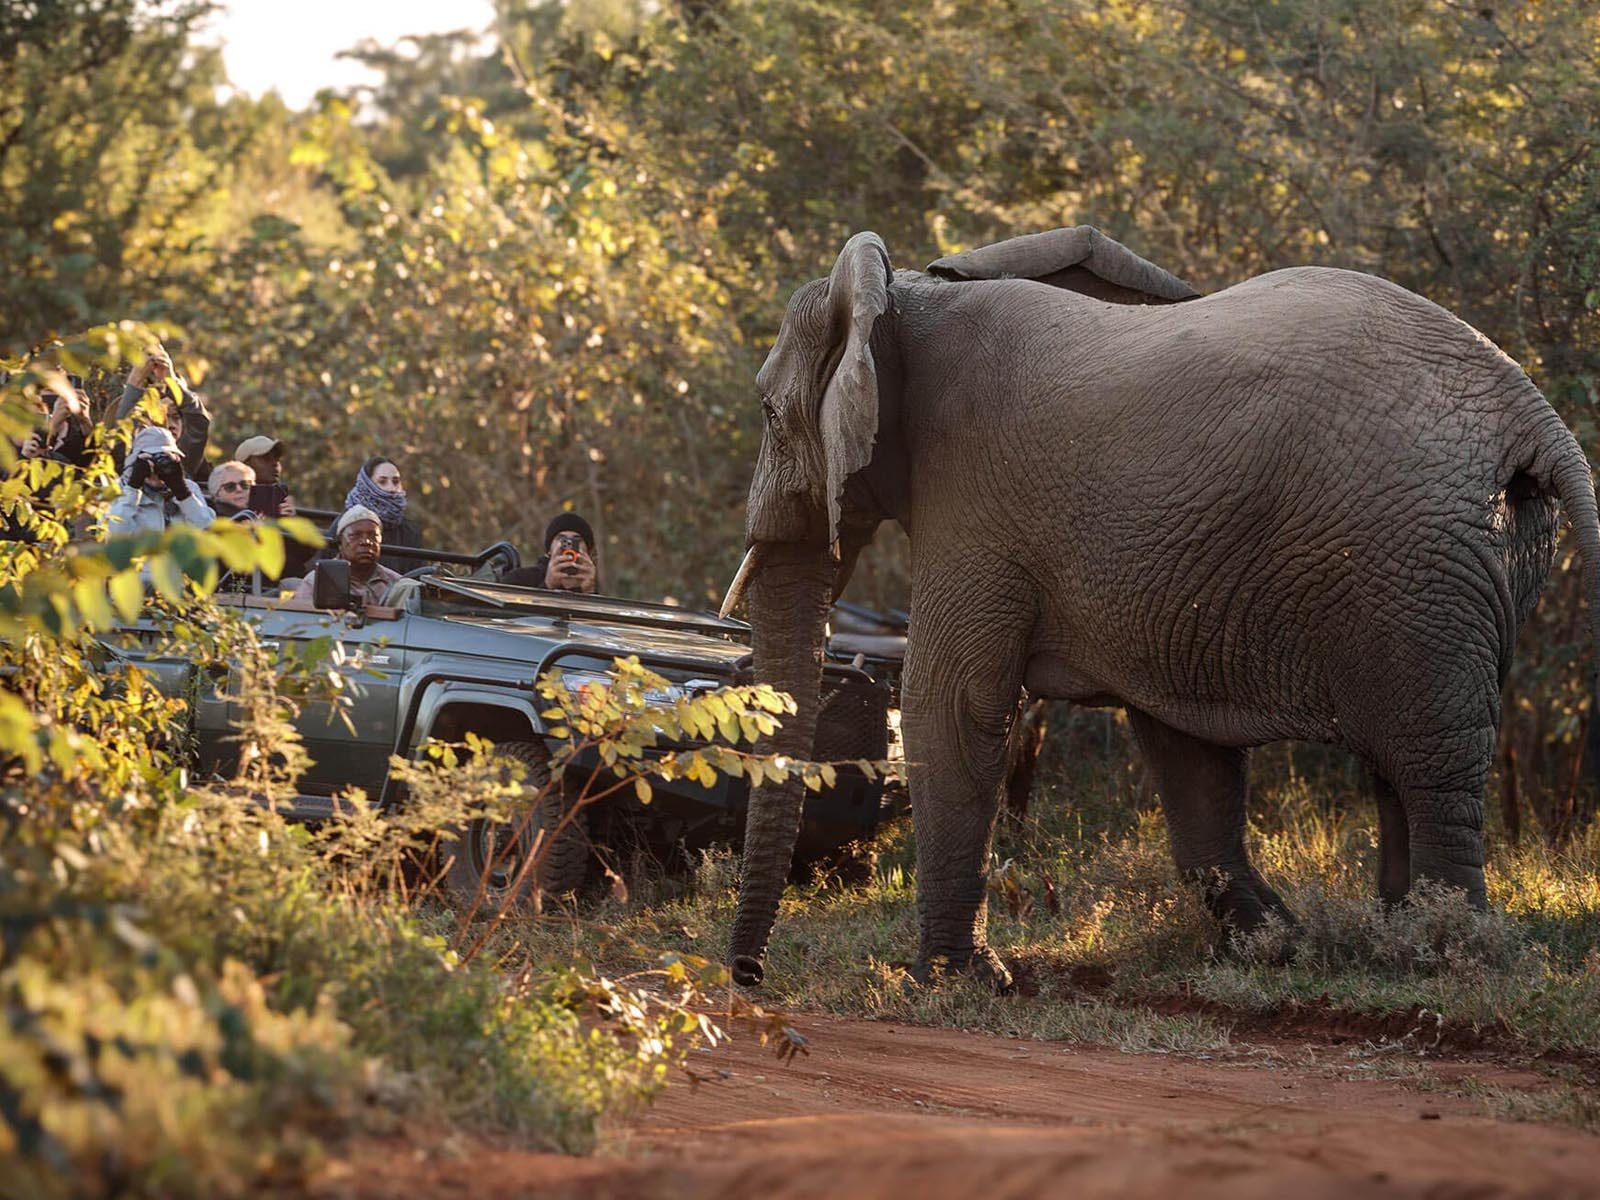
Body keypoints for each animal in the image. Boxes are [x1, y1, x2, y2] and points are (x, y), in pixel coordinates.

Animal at [720, 225, 1600, 991]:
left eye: (767, 412)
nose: (748, 977)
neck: (903, 296)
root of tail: (1533, 415)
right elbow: (1185, 748)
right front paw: (1276, 946)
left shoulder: (973, 498)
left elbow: (950, 705)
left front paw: (951, 982)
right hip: (1460, 566)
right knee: (1400, 762)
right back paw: (1386, 940)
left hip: (1414, 565)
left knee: (1427, 761)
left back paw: (1443, 955)